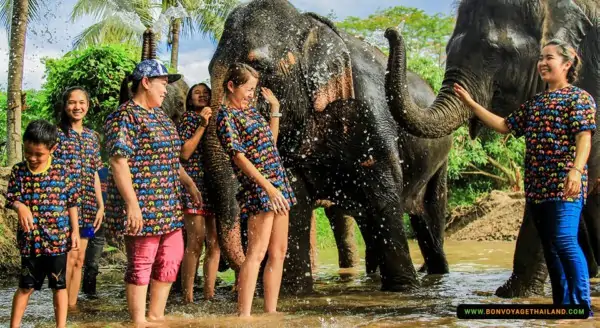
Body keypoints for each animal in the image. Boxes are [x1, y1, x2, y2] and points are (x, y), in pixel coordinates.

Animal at [200, 0, 450, 294]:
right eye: (209, 70)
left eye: (257, 65)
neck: (310, 26)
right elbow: (294, 199)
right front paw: (294, 292)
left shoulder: (372, 115)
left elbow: (384, 196)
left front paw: (403, 290)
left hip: (441, 161)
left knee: (430, 219)